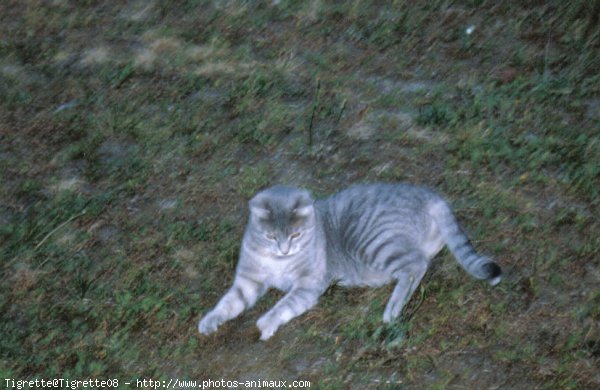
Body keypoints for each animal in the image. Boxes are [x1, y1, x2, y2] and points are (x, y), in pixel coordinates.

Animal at [198, 184, 502, 340]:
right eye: (271, 236)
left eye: (295, 234)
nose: (285, 250)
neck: (276, 260)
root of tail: (430, 195)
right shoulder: (248, 281)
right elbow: (228, 303)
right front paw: (210, 320)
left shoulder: (307, 285)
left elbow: (283, 305)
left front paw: (267, 322)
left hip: (373, 242)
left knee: (415, 267)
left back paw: (392, 310)